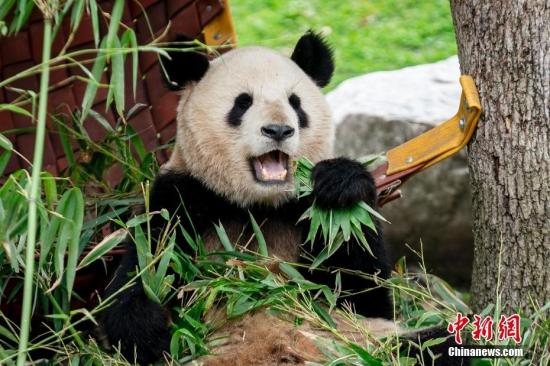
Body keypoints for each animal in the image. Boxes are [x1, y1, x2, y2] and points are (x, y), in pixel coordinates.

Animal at [101, 32, 468, 366]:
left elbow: (364, 293)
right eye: (242, 103)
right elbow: (138, 277)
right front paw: (153, 330)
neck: (257, 205)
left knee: (438, 345)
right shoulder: (181, 200)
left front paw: (340, 184)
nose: (278, 130)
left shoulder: (303, 211)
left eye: (296, 103)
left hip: (367, 343)